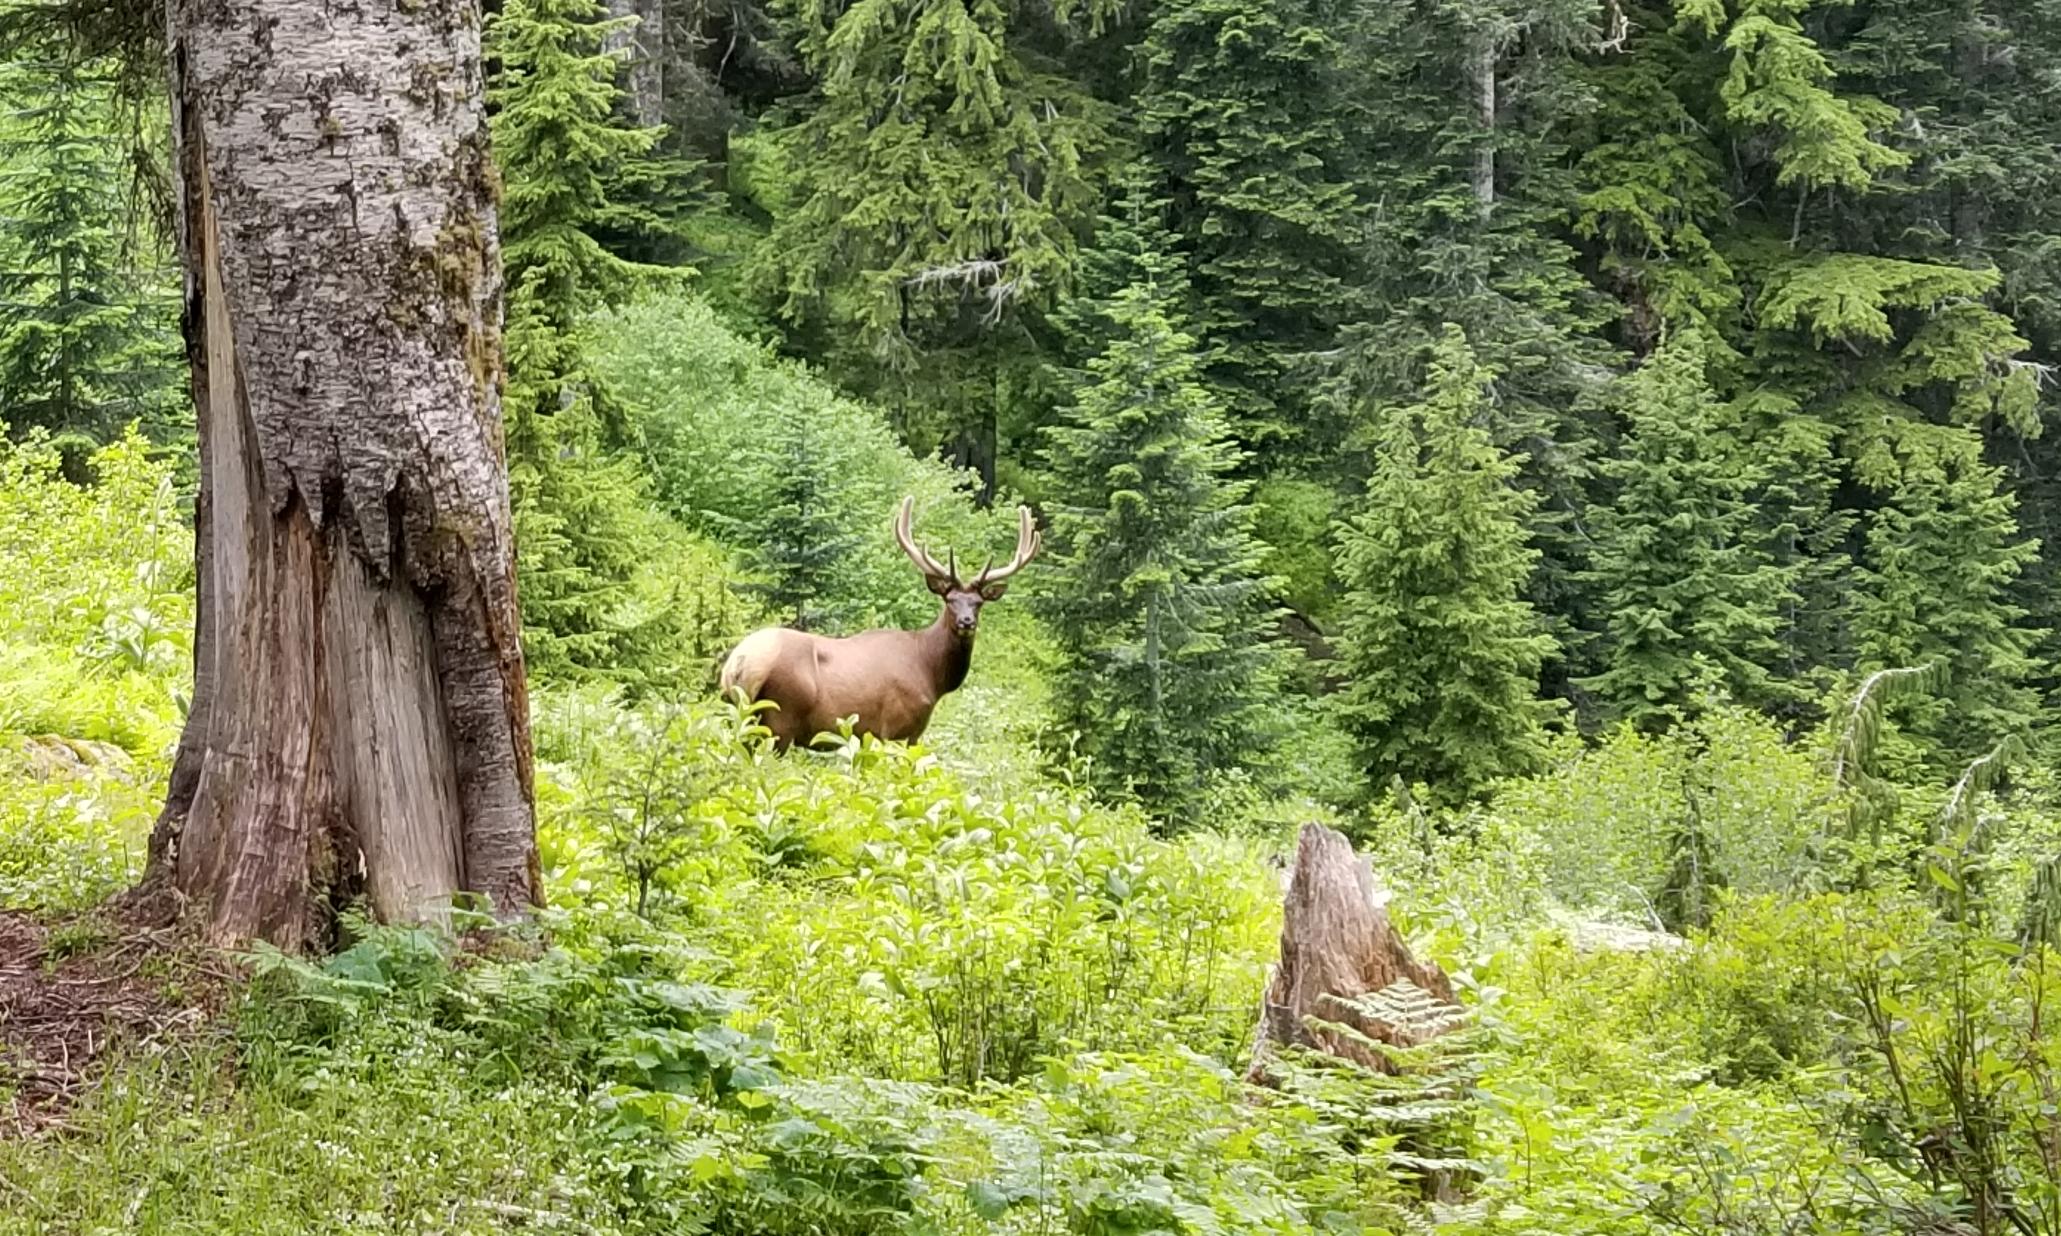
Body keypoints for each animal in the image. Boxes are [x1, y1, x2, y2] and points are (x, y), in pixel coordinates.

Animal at [725, 496, 1046, 749]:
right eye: (950, 600)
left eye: (978, 603)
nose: (967, 621)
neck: (932, 673)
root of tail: (739, 664)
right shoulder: (900, 728)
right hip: (781, 717)